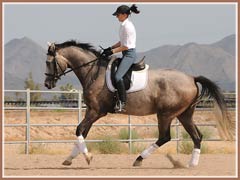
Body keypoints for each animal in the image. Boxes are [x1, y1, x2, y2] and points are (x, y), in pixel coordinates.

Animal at [44, 40, 233, 167]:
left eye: (48, 62)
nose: (47, 84)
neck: (94, 72)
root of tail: (192, 78)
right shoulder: (91, 110)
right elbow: (82, 132)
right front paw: (70, 158)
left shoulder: (96, 111)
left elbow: (79, 130)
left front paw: (87, 157)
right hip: (184, 114)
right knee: (197, 136)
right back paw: (191, 164)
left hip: (166, 114)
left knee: (165, 137)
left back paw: (139, 159)